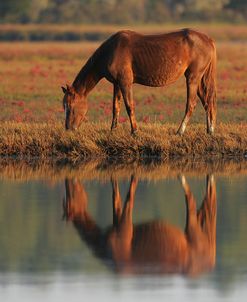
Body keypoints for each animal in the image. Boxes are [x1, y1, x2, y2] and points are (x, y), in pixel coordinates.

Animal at [61, 28, 216, 134]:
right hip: (199, 80)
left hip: (192, 78)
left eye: (71, 106)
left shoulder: (125, 82)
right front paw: (113, 130)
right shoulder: (117, 83)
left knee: (191, 104)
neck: (111, 51)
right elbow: (115, 107)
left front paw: (134, 131)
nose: (68, 128)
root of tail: (208, 39)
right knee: (207, 102)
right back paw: (210, 130)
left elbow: (129, 106)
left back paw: (180, 131)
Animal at [63, 175, 216, 276]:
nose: (68, 180)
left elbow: (130, 195)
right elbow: (115, 194)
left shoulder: (125, 223)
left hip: (192, 228)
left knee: (191, 200)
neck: (106, 246)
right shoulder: (118, 219)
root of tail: (210, 262)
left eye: (71, 195)